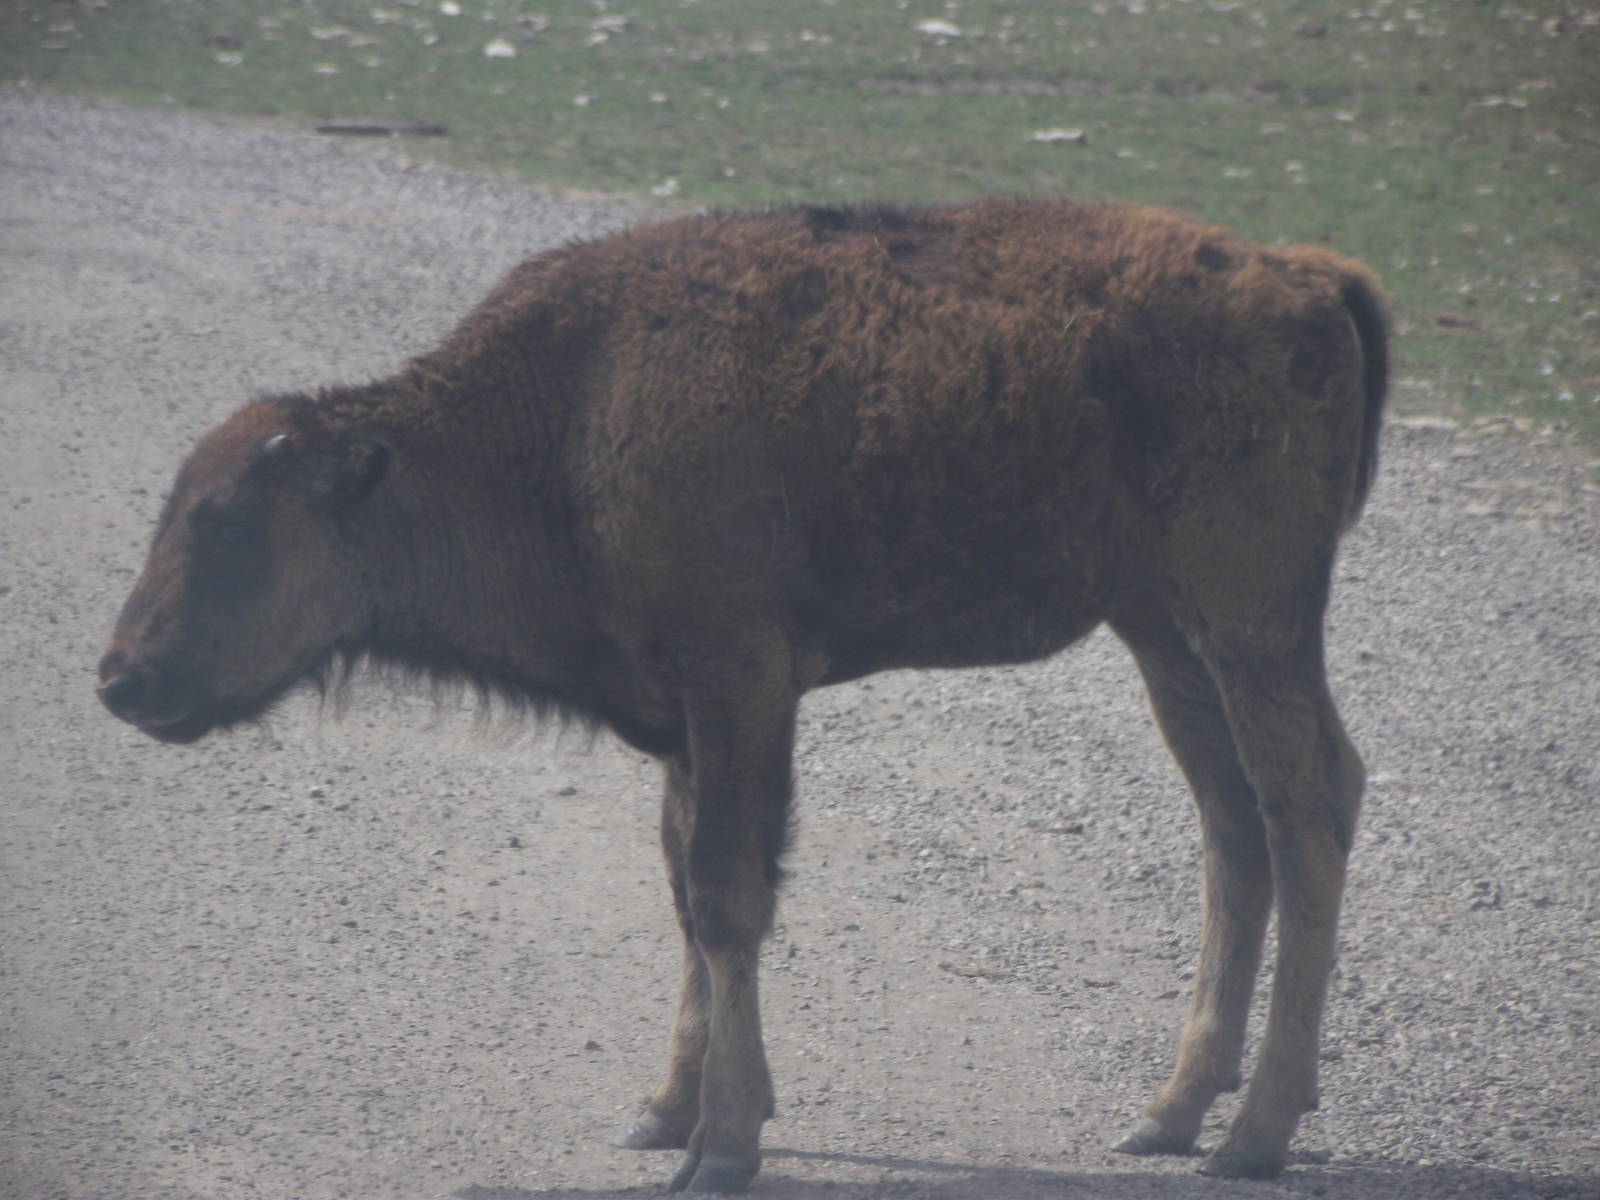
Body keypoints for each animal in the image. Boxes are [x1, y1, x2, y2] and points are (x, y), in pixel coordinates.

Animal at [98, 198, 1387, 1193]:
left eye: (226, 523)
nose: (120, 678)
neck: (563, 414)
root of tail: (1309, 276)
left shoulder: (739, 684)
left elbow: (725, 896)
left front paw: (719, 1147)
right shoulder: (686, 716)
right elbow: (682, 887)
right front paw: (665, 1111)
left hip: (1249, 622)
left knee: (1308, 804)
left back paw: (1252, 1137)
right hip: (1164, 631)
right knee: (1232, 828)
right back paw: (1167, 1115)